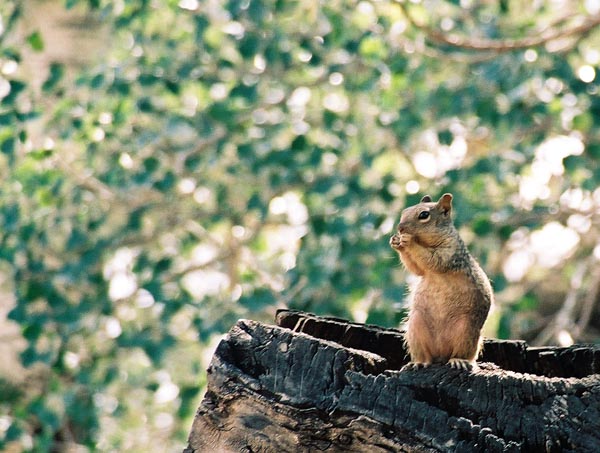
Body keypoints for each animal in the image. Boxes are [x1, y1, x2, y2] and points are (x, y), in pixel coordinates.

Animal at [390, 192, 492, 370]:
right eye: (404, 211)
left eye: (424, 215)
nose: (400, 228)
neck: (426, 241)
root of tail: (441, 354)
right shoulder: (422, 269)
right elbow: (416, 268)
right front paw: (396, 242)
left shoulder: (450, 253)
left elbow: (433, 260)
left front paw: (408, 241)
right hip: (416, 326)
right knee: (426, 356)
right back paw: (419, 362)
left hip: (466, 330)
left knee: (462, 352)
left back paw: (459, 360)